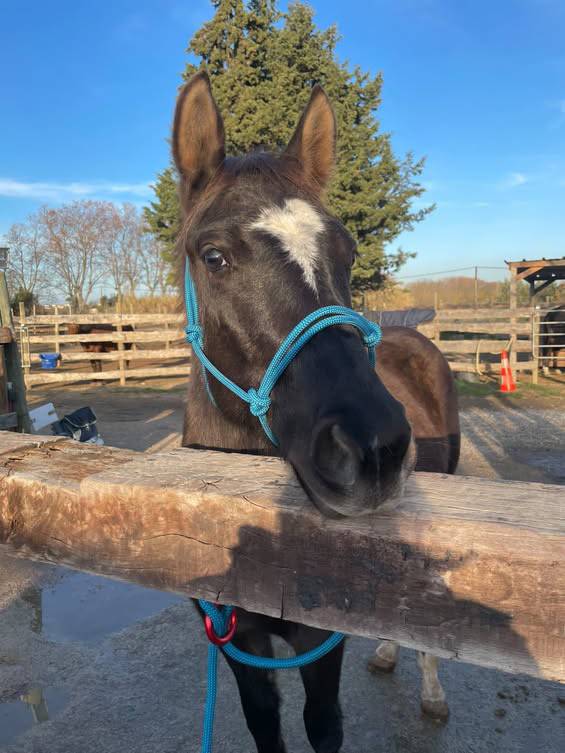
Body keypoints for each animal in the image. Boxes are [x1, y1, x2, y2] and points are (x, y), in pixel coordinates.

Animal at [174, 72, 460, 752]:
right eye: (214, 255)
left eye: (348, 249)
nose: (374, 445)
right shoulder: (240, 644)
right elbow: (264, 724)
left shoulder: (317, 641)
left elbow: (322, 725)